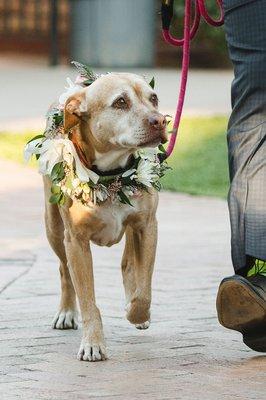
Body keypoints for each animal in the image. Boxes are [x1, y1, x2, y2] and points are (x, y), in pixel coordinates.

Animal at [43, 72, 166, 362]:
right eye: (120, 102)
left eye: (153, 98)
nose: (160, 120)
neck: (111, 175)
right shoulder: (76, 241)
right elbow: (88, 299)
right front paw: (93, 342)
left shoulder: (147, 226)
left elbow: (144, 288)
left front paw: (136, 313)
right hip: (54, 229)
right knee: (64, 270)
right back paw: (66, 311)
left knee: (129, 264)